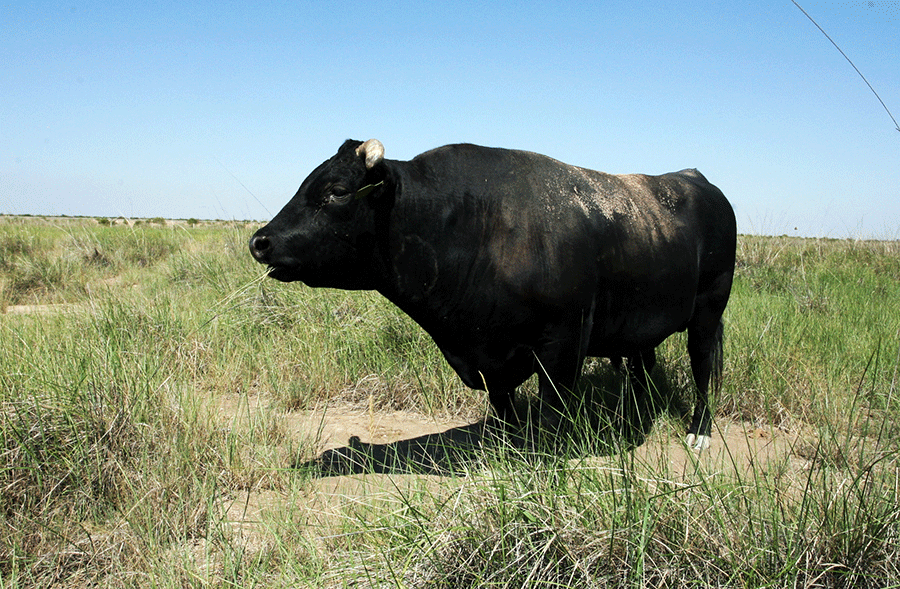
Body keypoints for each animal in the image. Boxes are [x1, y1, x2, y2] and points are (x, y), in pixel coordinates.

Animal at [250, 140, 736, 448]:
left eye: (336, 192)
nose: (260, 241)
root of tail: (695, 178)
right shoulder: (490, 363)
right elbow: (505, 412)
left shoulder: (563, 342)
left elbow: (552, 415)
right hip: (640, 324)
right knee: (641, 368)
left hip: (709, 311)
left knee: (704, 367)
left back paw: (699, 430)